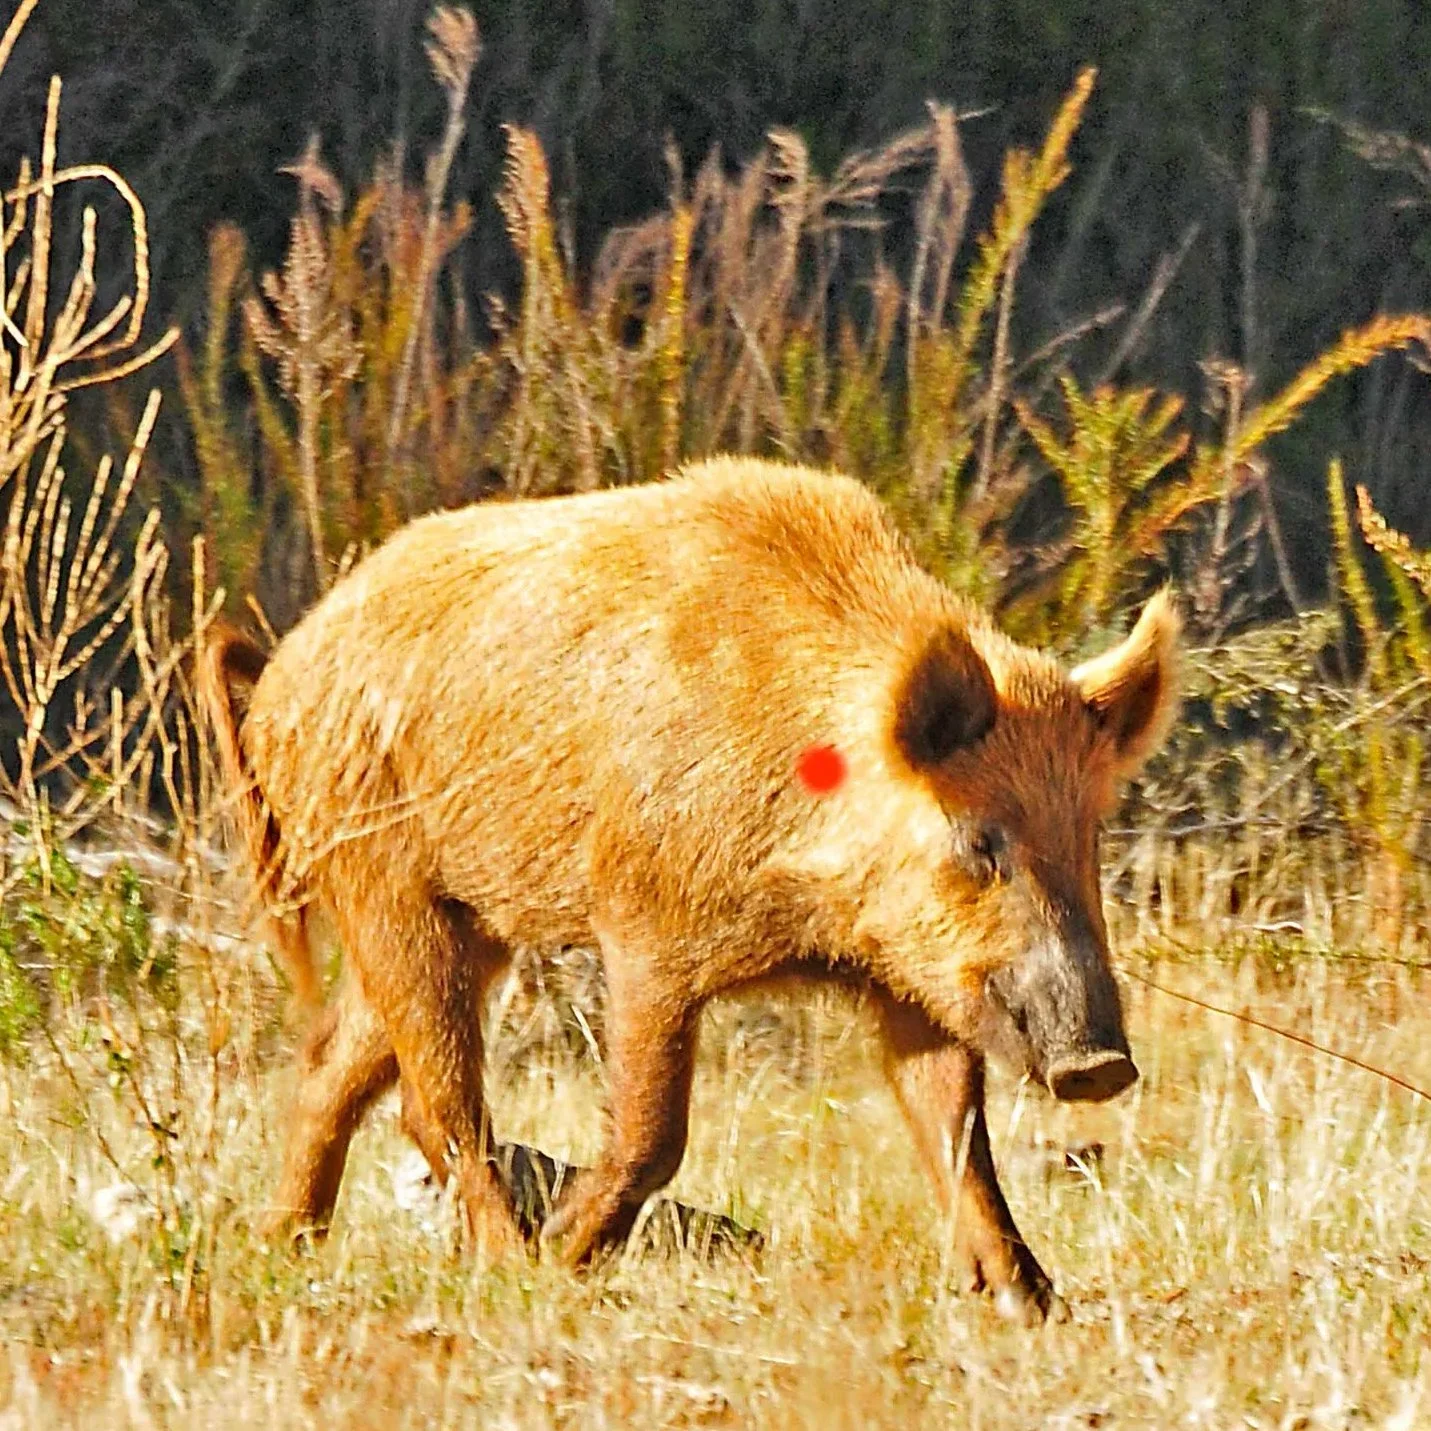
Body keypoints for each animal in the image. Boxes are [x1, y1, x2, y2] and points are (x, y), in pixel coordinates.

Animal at [199, 456, 1179, 1322]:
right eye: (980, 839)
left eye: (1087, 832)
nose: (1100, 1063)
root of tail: (282, 671)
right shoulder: (644, 930)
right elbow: (652, 1128)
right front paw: (563, 1256)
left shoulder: (907, 973)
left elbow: (955, 1128)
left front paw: (1030, 1304)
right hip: (384, 878)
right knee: (434, 1101)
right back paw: (507, 1261)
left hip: (465, 922)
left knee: (334, 1062)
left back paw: (283, 1242)